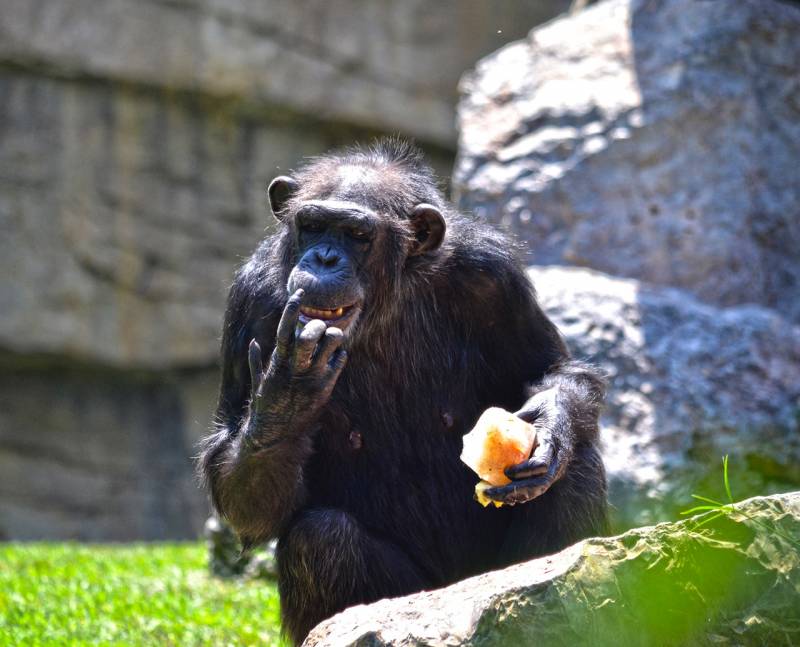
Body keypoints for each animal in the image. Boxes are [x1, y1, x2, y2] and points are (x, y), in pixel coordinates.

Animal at [198, 139, 608, 644]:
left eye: (356, 234)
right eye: (312, 226)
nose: (324, 259)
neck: (383, 307)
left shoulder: (493, 279)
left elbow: (552, 368)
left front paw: (550, 429)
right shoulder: (250, 301)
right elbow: (244, 498)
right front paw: (285, 394)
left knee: (577, 469)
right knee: (320, 539)